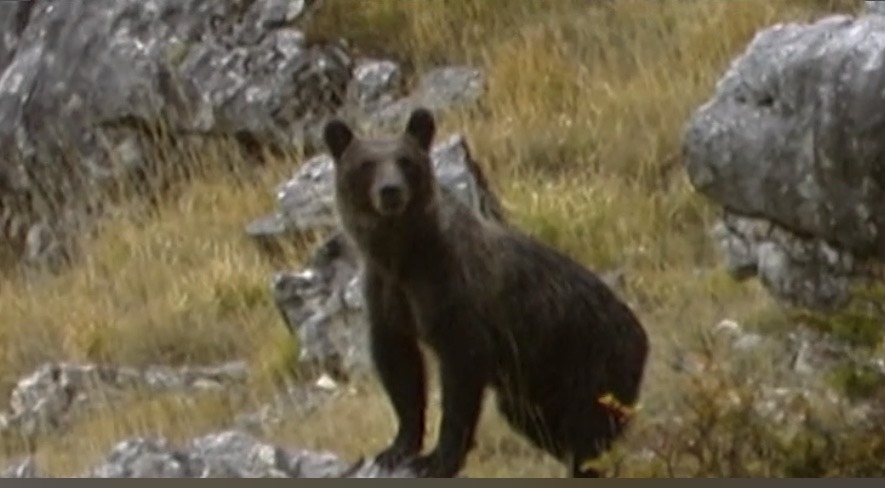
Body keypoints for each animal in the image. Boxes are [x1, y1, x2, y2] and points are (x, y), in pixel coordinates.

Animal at [322, 107, 648, 476]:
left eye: (405, 160)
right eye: (366, 164)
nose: (390, 191)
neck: (402, 256)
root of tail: (640, 333)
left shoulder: (455, 296)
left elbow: (460, 380)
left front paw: (437, 459)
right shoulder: (386, 296)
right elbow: (400, 369)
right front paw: (396, 449)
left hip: (594, 362)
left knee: (588, 431)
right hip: (532, 388)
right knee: (538, 423)